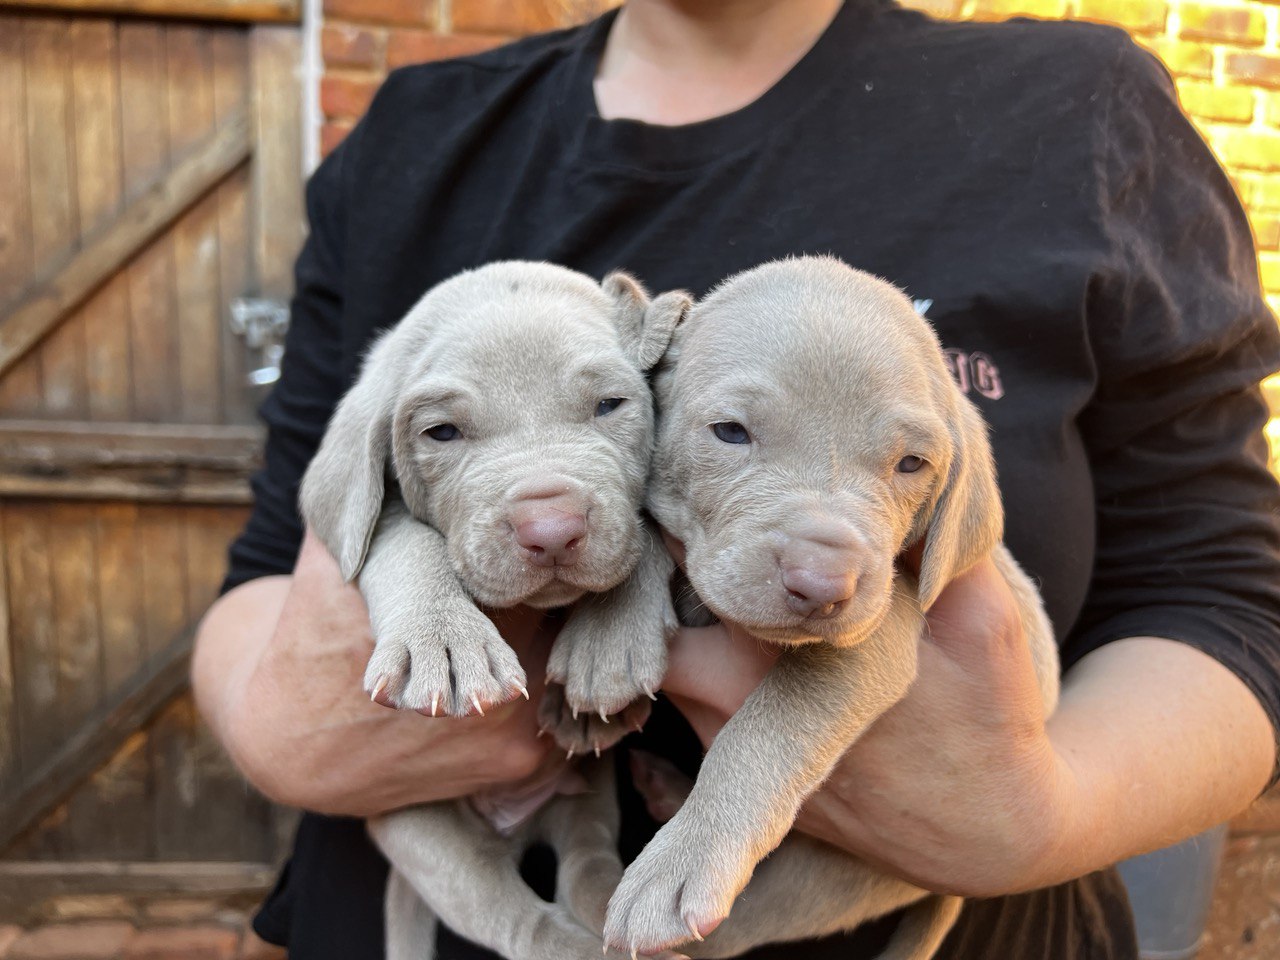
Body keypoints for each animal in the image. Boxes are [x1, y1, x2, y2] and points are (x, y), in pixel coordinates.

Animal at [299, 261, 691, 960]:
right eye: (442, 432)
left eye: (610, 406)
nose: (552, 530)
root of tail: (515, 826)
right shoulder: (373, 524)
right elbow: (407, 544)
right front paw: (445, 644)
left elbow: (643, 523)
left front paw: (606, 644)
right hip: (422, 834)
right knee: (511, 912)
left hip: (587, 795)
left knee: (587, 862)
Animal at [599, 256, 1059, 960]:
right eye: (729, 431)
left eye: (912, 464)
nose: (821, 584)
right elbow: (646, 525)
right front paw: (607, 641)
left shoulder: (887, 625)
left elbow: (773, 721)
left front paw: (684, 858)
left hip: (827, 877)